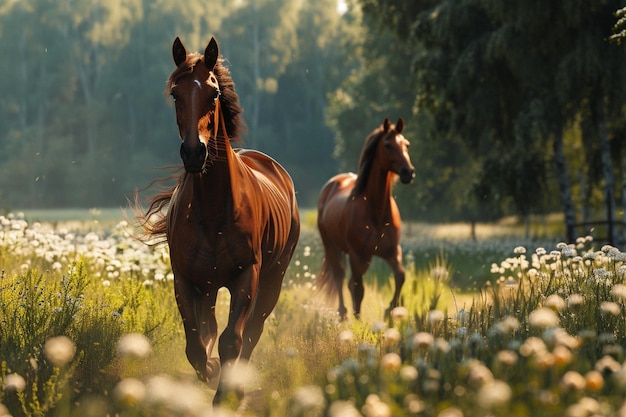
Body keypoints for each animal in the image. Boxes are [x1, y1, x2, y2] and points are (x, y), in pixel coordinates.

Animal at [140, 36, 300, 404]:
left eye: (213, 93)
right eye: (176, 94)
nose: (194, 153)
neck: (213, 209)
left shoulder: (247, 275)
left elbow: (233, 339)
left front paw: (226, 394)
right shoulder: (186, 280)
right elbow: (196, 343)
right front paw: (209, 371)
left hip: (273, 278)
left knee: (253, 331)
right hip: (210, 286)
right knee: (211, 327)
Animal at [316, 118, 414, 320]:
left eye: (406, 144)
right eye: (388, 145)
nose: (408, 172)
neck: (376, 212)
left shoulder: (392, 252)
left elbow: (400, 276)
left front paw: (390, 310)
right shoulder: (358, 255)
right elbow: (358, 289)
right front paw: (358, 321)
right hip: (332, 246)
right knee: (340, 276)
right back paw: (343, 313)